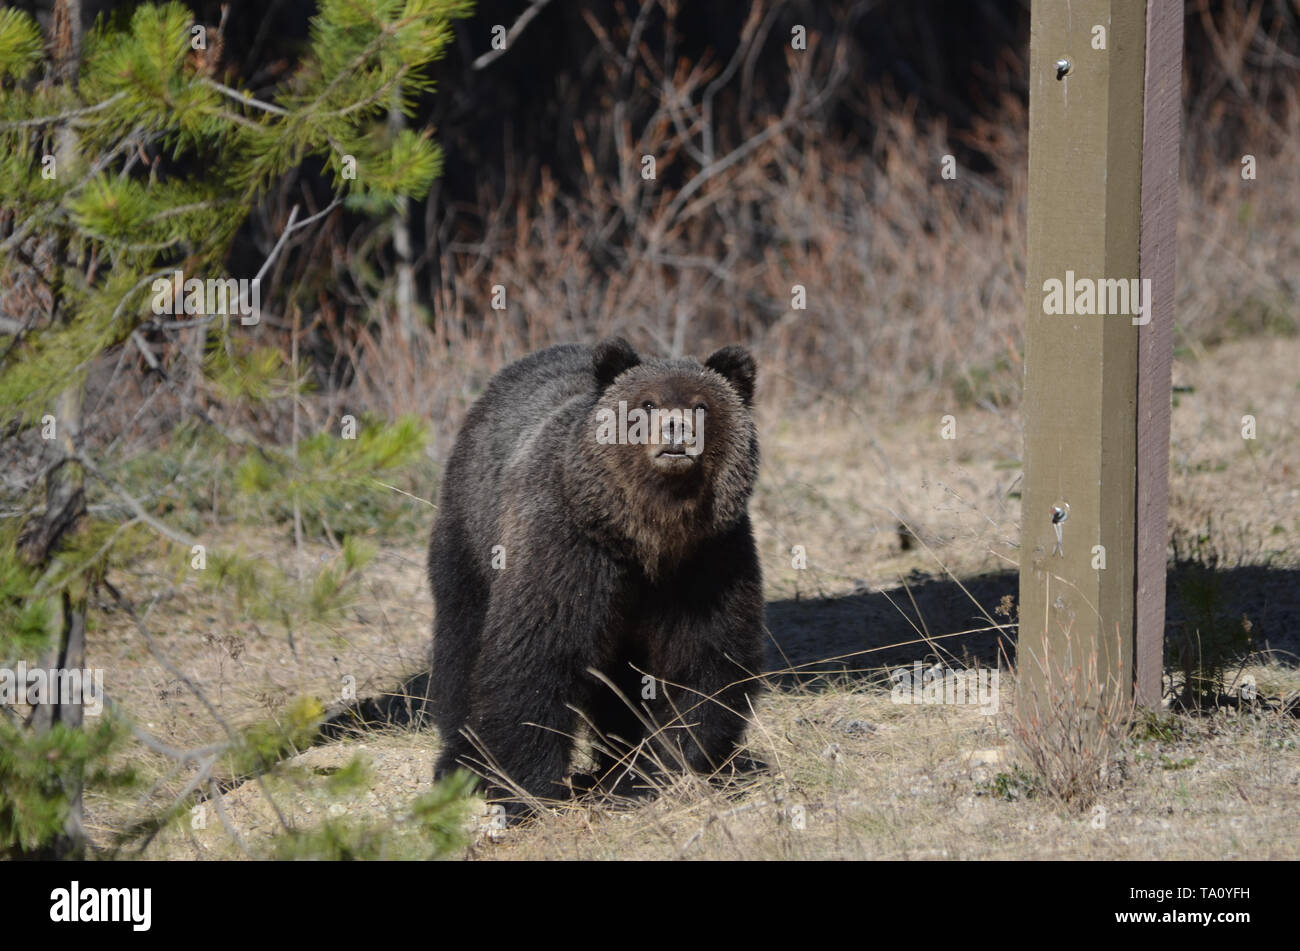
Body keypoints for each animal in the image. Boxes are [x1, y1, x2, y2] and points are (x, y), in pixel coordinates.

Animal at [427, 337, 764, 815]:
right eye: (648, 402)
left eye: (701, 405)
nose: (676, 431)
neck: (646, 536)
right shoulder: (570, 549)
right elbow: (539, 655)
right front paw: (524, 786)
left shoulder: (708, 560)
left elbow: (704, 660)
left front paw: (669, 766)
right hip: (473, 529)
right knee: (462, 640)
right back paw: (461, 759)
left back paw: (613, 764)